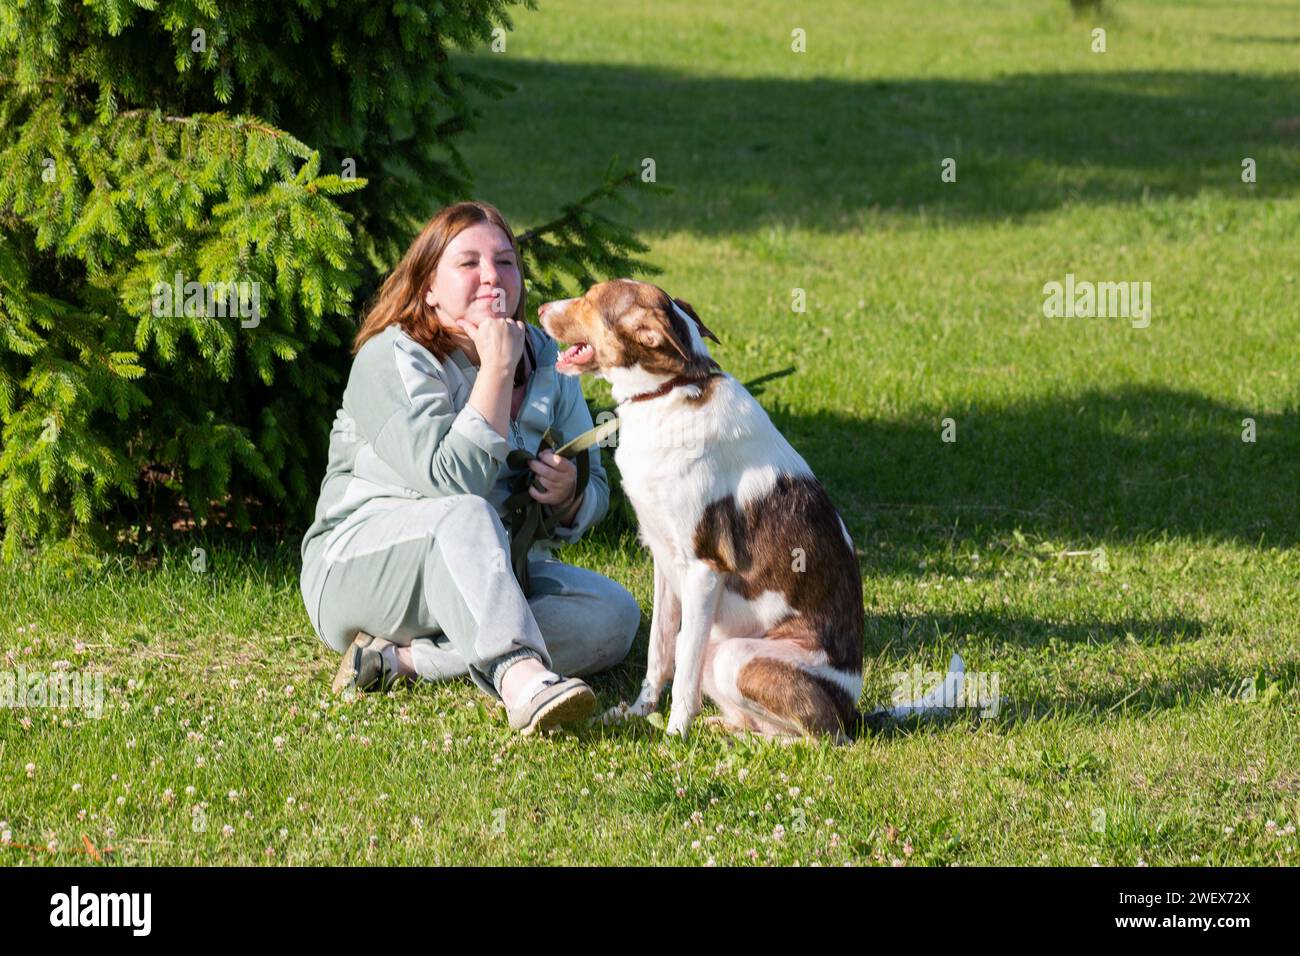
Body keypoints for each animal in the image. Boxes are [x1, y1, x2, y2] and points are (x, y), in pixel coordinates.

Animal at [538, 280, 863, 743]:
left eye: (591, 299)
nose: (539, 308)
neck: (668, 390)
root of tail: (852, 712)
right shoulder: (662, 559)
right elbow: (659, 652)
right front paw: (637, 713)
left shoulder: (702, 570)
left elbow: (683, 669)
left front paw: (674, 736)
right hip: (720, 649)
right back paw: (723, 727)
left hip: (736, 657)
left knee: (815, 739)